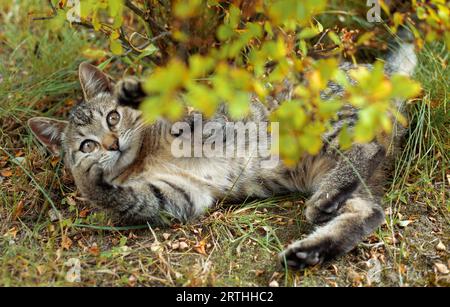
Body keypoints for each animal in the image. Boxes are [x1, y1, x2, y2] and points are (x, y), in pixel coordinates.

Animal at [28, 37, 416, 270]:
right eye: (87, 145)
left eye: (112, 117)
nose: (110, 145)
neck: (144, 156)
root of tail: (380, 73)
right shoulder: (179, 195)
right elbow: (130, 199)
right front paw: (90, 179)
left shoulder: (202, 116)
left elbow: (184, 109)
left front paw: (136, 93)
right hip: (339, 171)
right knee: (370, 210)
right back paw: (311, 248)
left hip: (320, 121)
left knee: (368, 144)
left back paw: (325, 201)